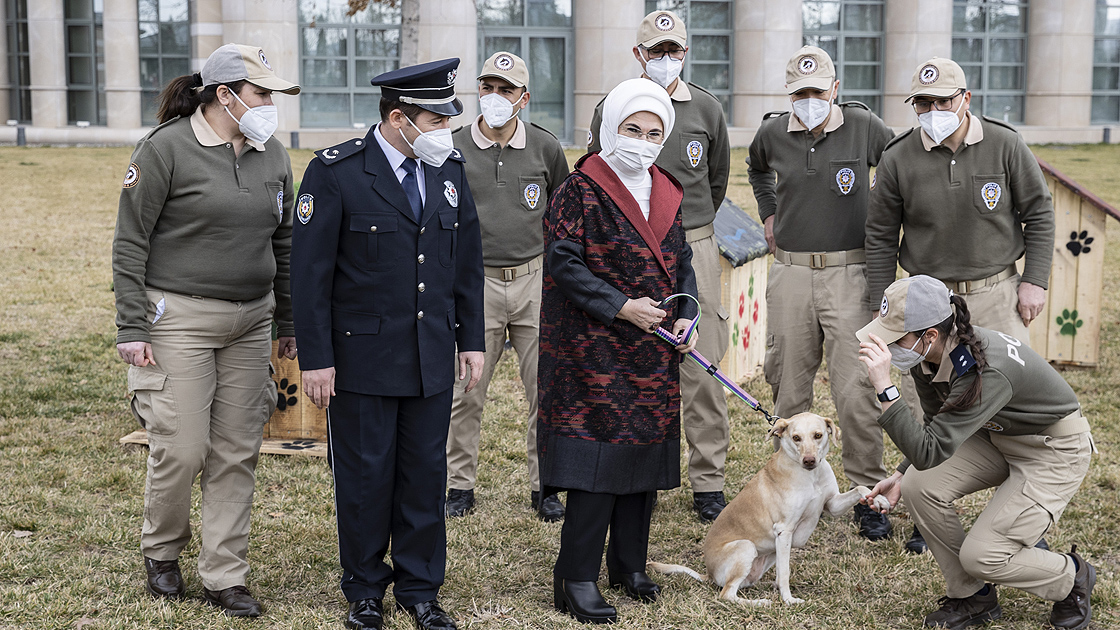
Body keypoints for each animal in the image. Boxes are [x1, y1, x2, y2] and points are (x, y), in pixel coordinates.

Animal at [649, 412, 891, 605]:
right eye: (796, 438)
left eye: (818, 435)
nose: (809, 460)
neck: (810, 476)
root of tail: (708, 573)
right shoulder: (784, 530)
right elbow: (785, 573)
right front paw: (789, 600)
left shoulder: (831, 504)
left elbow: (860, 488)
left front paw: (879, 499)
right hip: (747, 547)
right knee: (727, 594)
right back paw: (761, 603)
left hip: (768, 554)